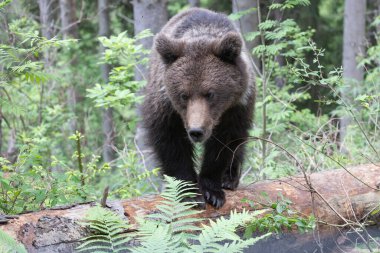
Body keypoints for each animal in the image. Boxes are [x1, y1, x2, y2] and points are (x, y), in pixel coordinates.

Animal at [142, 7, 255, 209]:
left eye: (210, 93)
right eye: (183, 95)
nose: (196, 131)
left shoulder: (236, 107)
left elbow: (224, 143)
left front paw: (212, 191)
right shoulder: (166, 106)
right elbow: (171, 144)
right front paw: (189, 193)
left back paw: (230, 178)